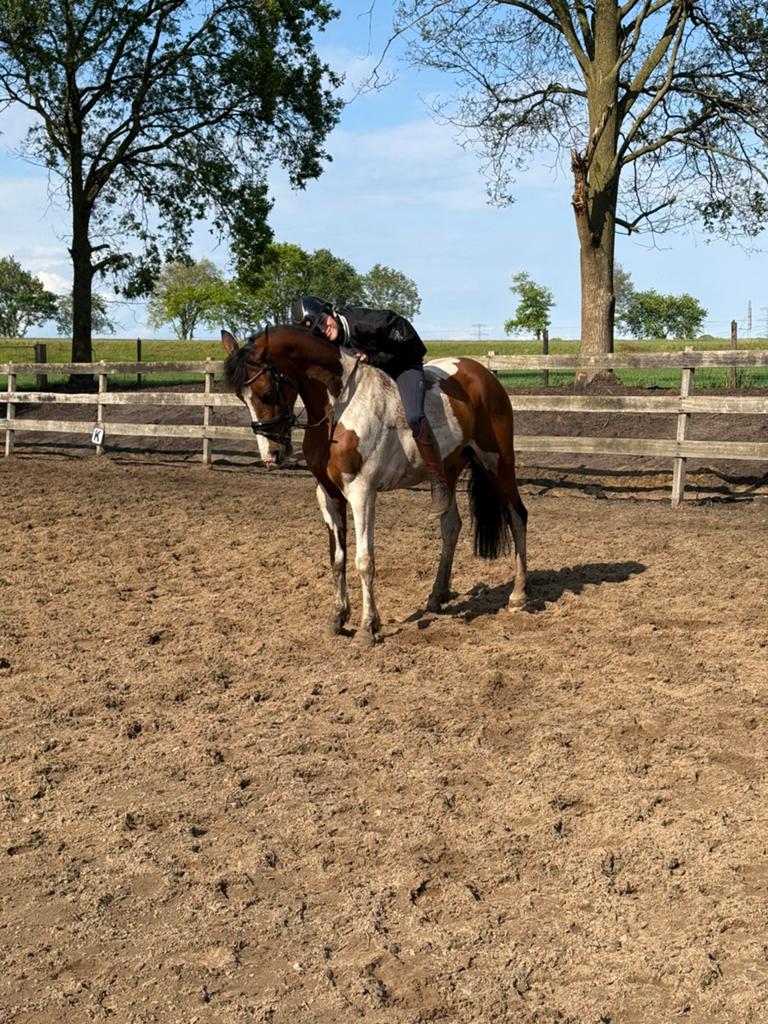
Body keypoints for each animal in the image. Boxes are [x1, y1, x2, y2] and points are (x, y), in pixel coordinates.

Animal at [221, 326, 528, 640]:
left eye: (267, 392)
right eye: (240, 397)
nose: (271, 455)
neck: (339, 408)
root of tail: (484, 375)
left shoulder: (362, 493)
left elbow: (364, 560)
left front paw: (368, 626)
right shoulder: (328, 495)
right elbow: (337, 558)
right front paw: (338, 617)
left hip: (498, 463)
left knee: (517, 516)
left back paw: (517, 595)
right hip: (449, 471)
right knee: (451, 526)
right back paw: (437, 596)